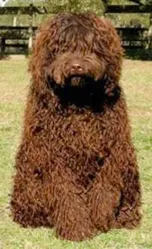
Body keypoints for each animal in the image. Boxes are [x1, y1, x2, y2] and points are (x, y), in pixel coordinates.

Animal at [11, 12, 141, 240]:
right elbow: (66, 194)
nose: (76, 66)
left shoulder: (114, 148)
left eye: (90, 46)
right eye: (62, 47)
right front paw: (77, 229)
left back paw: (125, 219)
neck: (78, 99)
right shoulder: (52, 156)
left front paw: (99, 220)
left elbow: (104, 189)